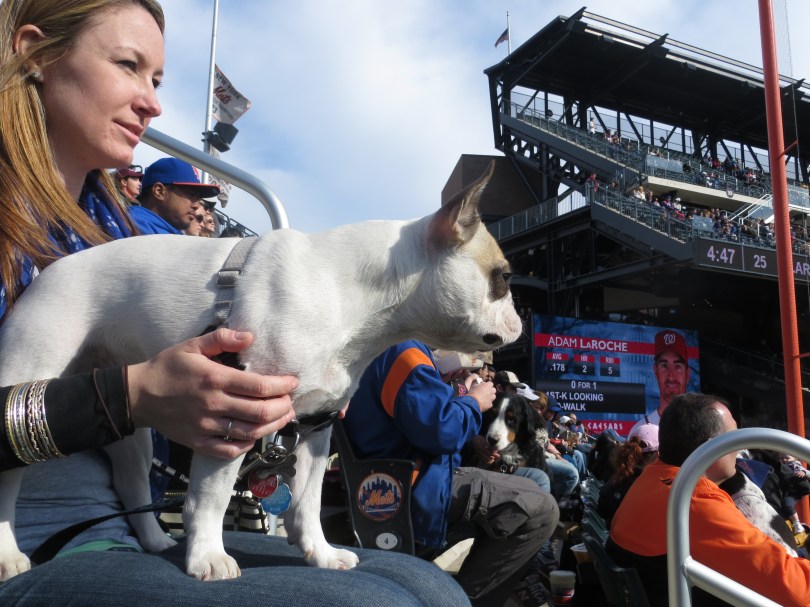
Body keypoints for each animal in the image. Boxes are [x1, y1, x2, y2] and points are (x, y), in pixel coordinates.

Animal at [0, 161, 522, 582]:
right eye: (504, 278)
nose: (519, 322)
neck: (356, 299)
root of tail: (50, 269)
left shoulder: (314, 429)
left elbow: (307, 499)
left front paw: (320, 553)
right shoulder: (231, 415)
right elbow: (210, 496)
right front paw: (208, 557)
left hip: (124, 416)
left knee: (131, 480)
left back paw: (153, 540)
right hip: (30, 369)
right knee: (9, 476)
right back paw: (8, 555)